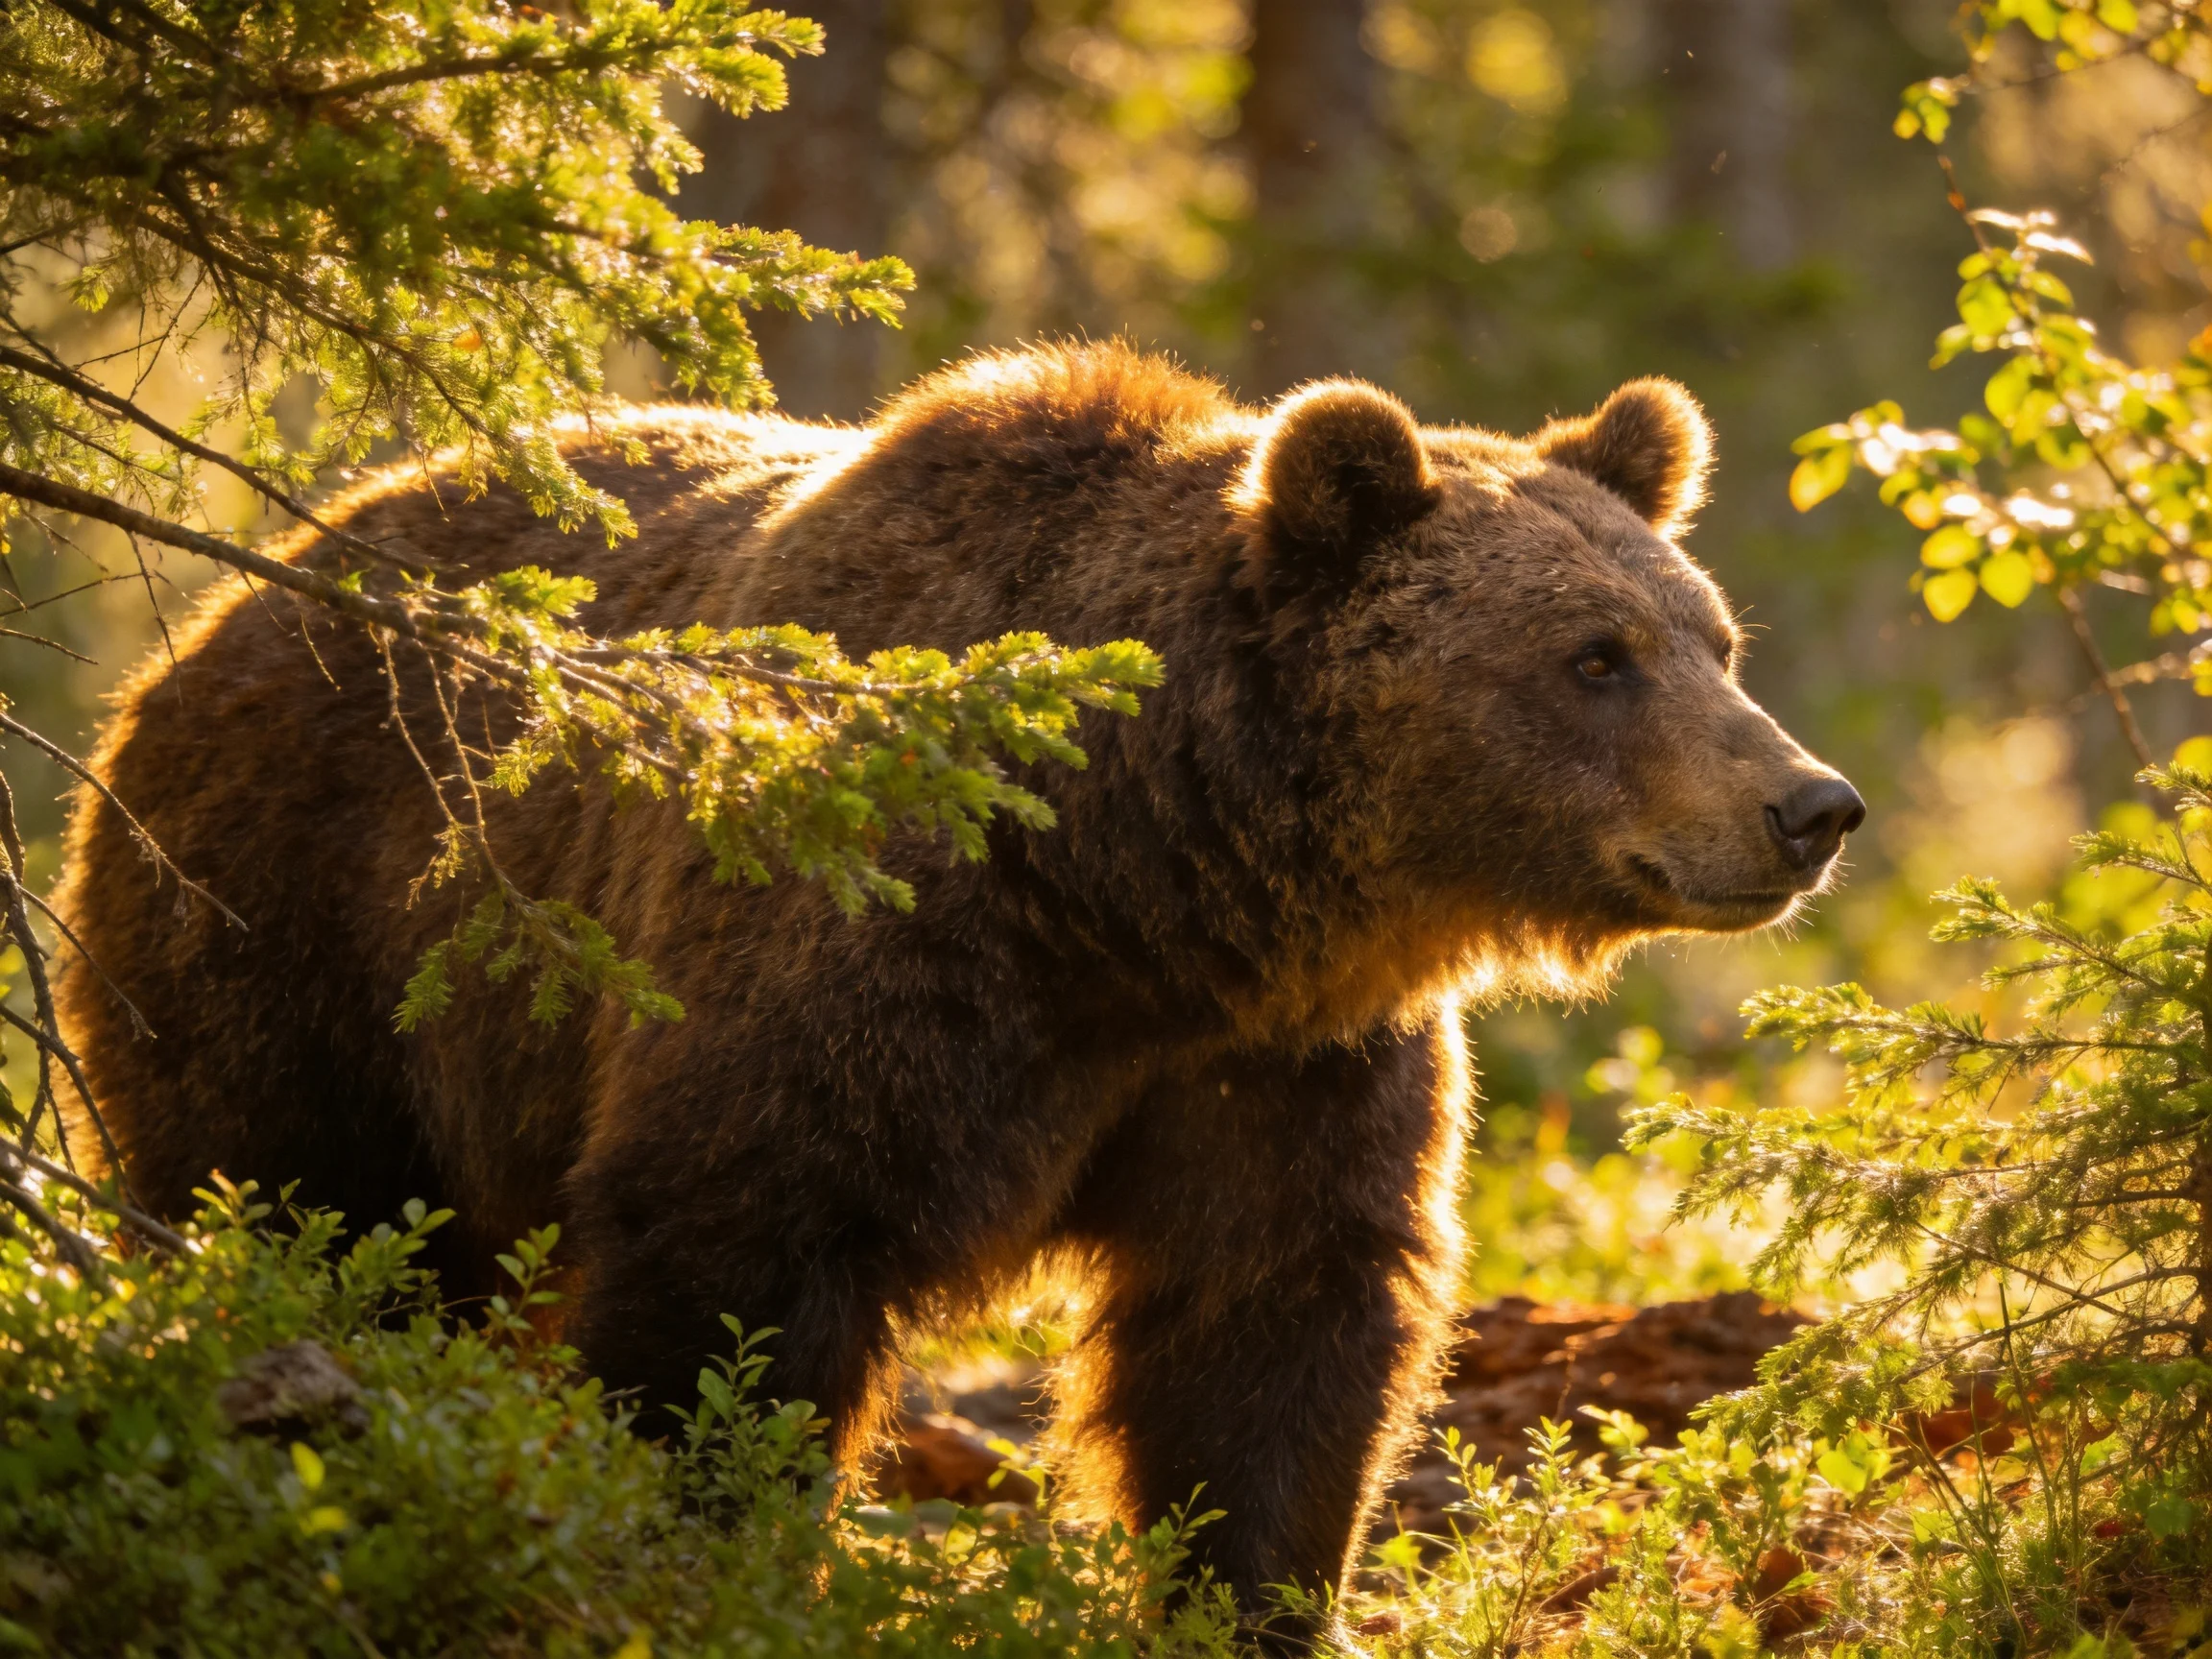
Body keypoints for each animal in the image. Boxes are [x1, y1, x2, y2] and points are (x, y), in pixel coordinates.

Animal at [55, 344, 1862, 1625]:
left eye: (1711, 640)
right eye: (1591, 657)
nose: (1808, 805)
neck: (1140, 880)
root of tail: (228, 598)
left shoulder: (1281, 1058)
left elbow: (1276, 1327)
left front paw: (1259, 1598)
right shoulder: (868, 961)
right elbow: (735, 1261)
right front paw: (703, 1551)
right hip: (303, 929)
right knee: (300, 1208)